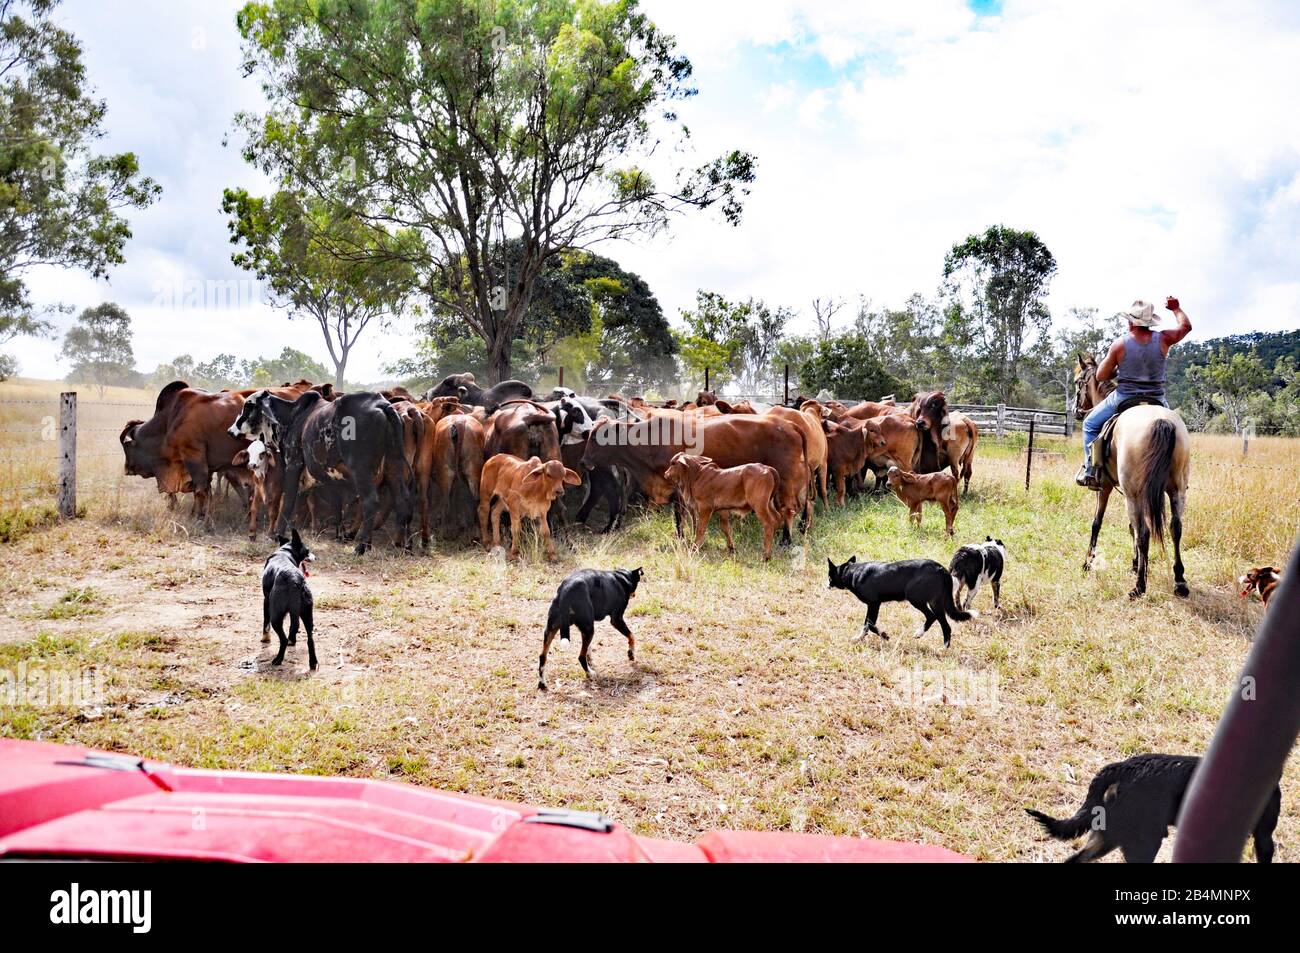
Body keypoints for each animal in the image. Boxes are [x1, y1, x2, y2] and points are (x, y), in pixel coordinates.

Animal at [228, 389, 412, 554]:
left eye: (248, 406)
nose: (231, 431)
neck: (293, 417)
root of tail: (382, 404)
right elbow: (328, 507)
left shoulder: (294, 463)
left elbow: (288, 502)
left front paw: (277, 536)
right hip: (394, 465)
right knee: (403, 499)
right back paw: (404, 546)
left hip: (361, 470)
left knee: (370, 501)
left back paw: (362, 547)